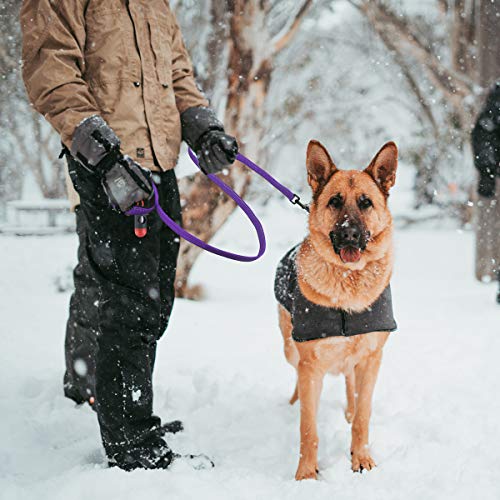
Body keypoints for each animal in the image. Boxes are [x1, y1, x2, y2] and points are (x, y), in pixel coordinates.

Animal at [278, 139, 398, 478]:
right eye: (334, 201)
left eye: (366, 203)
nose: (350, 234)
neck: (348, 281)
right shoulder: (310, 365)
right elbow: (308, 428)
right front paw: (306, 474)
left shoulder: (371, 359)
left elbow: (363, 416)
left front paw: (361, 458)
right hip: (290, 349)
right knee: (297, 376)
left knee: (349, 381)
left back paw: (348, 410)